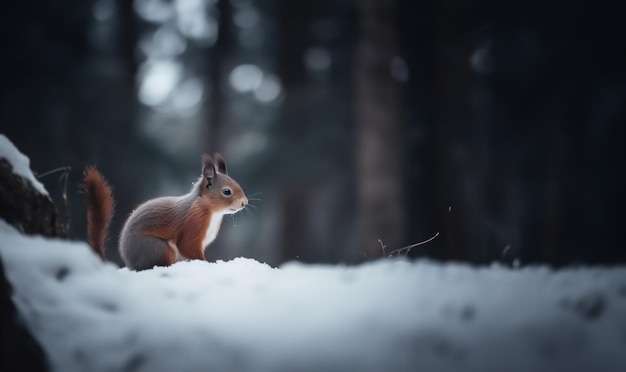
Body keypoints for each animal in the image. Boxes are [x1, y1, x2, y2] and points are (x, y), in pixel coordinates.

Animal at [82, 153, 246, 272]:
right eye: (226, 191)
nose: (245, 202)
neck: (212, 212)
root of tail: (131, 263)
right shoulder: (192, 224)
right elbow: (187, 246)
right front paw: (205, 264)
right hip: (157, 248)